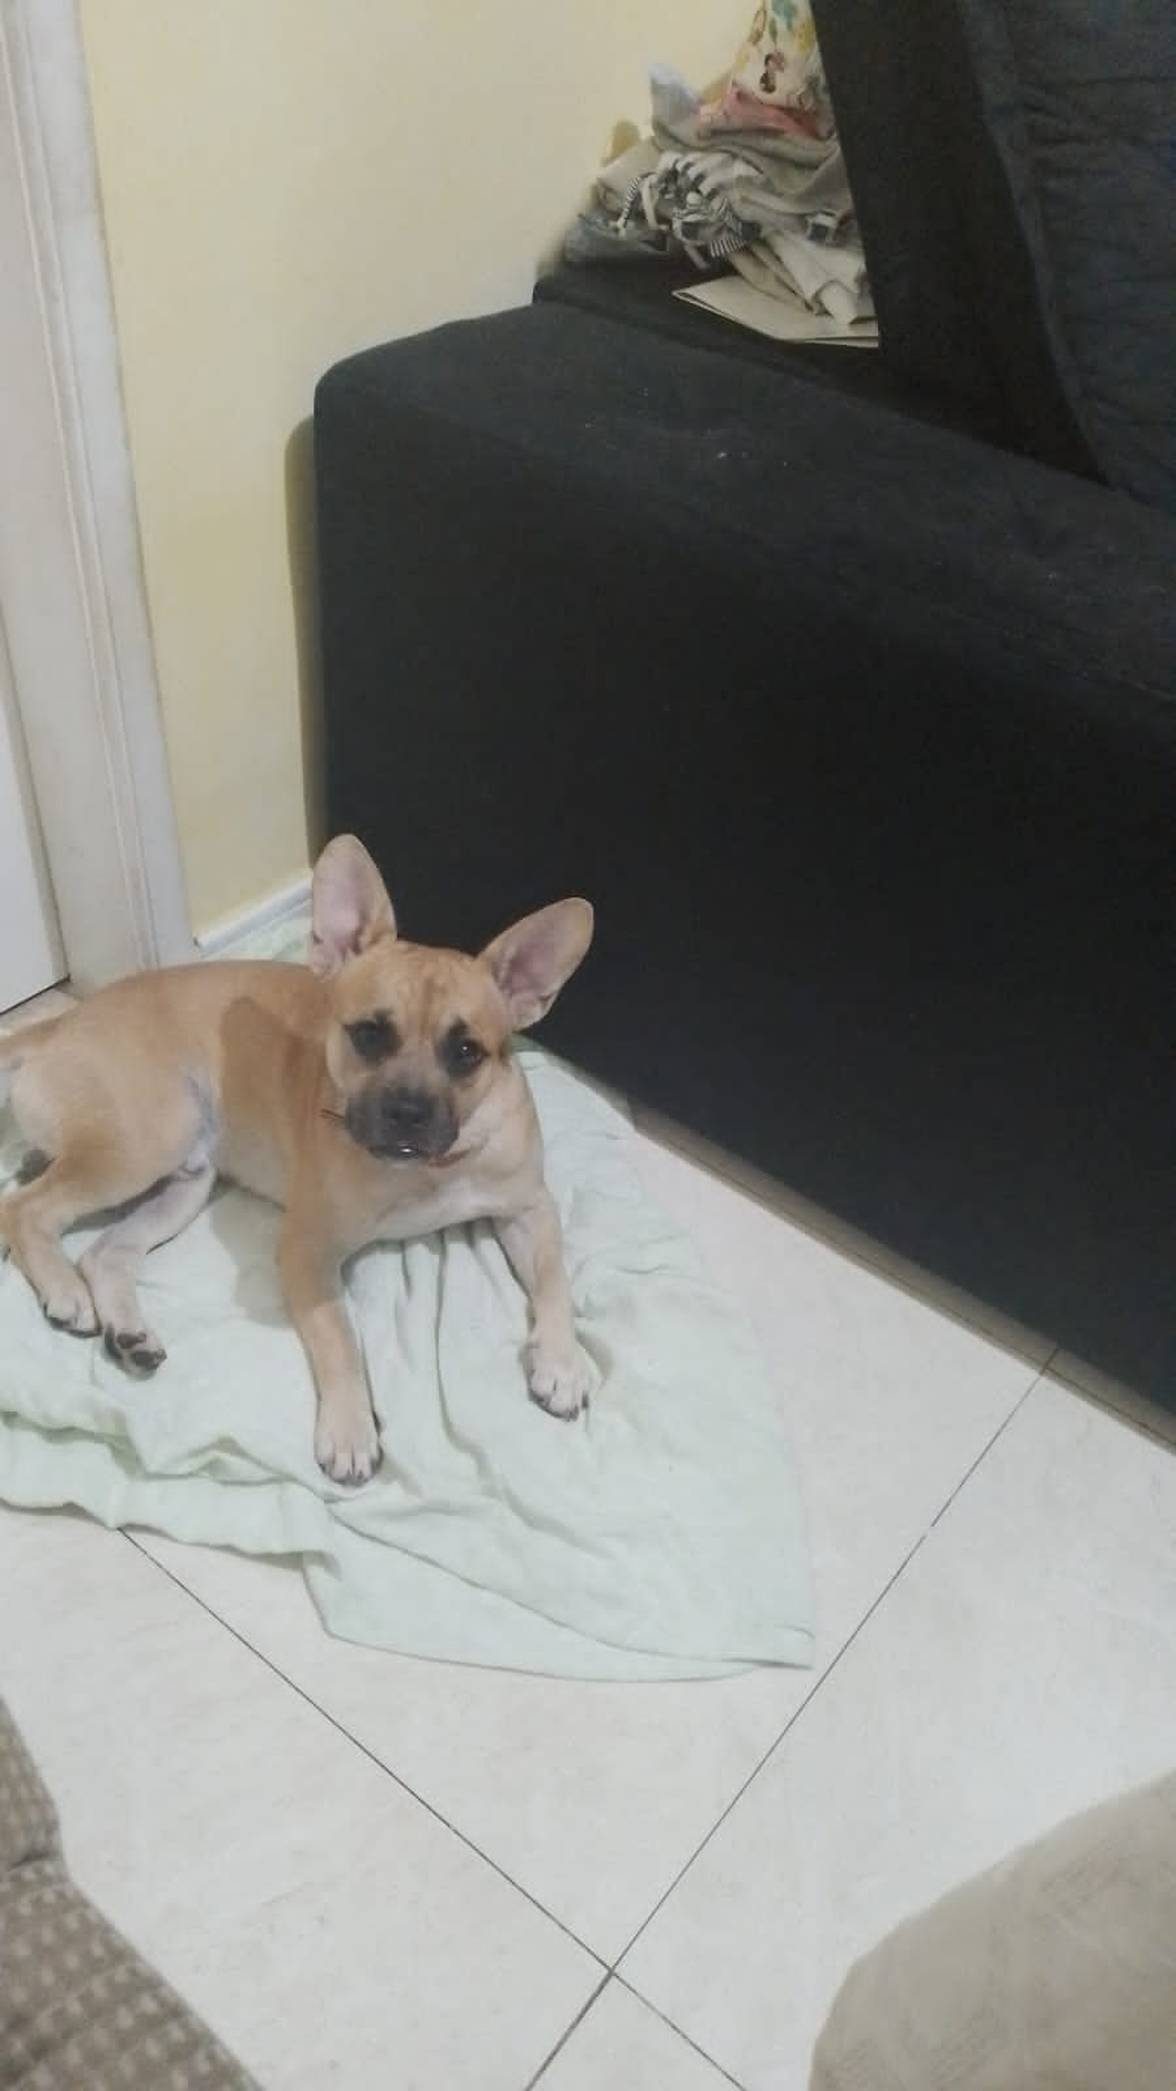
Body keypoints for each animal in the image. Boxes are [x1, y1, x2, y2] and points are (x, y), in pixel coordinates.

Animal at [0, 836, 594, 1483]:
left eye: (466, 1052)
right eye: (368, 1034)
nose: (408, 1111)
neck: (429, 1171)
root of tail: (60, 1023)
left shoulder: (530, 1211)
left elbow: (555, 1280)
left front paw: (562, 1358)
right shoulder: (310, 1252)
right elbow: (339, 1337)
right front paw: (352, 1426)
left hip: (186, 1180)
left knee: (107, 1252)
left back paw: (128, 1329)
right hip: (142, 1143)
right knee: (25, 1209)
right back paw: (64, 1289)